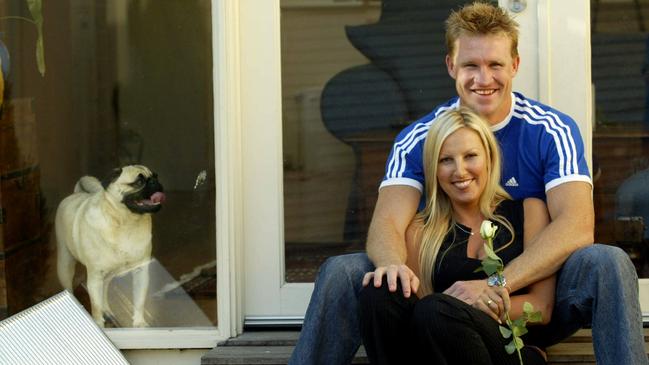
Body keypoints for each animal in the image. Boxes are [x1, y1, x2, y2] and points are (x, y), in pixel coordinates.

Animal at [55, 165, 165, 328]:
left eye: (156, 176)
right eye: (138, 182)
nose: (154, 182)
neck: (126, 223)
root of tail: (75, 194)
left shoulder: (141, 271)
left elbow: (139, 301)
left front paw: (139, 323)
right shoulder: (94, 277)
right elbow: (95, 308)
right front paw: (99, 327)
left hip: (109, 273)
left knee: (105, 289)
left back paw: (107, 310)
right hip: (65, 264)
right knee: (69, 286)